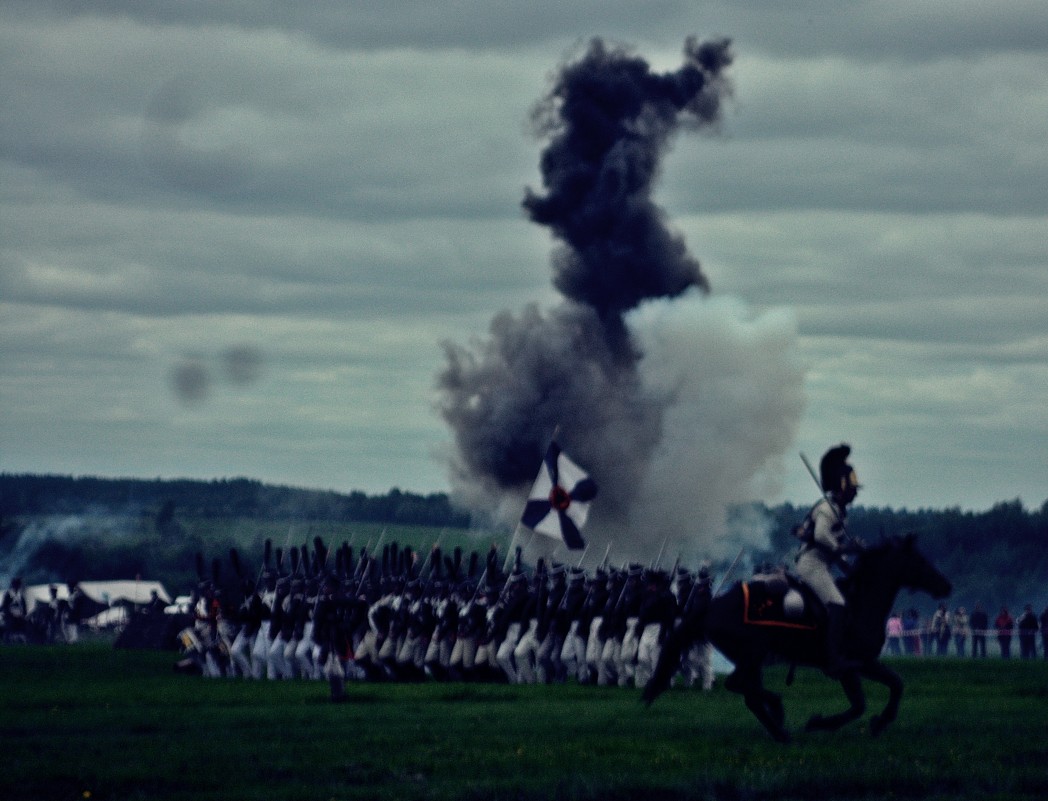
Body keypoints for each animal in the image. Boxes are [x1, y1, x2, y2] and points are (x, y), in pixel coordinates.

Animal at [641, 534, 955, 742]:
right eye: (918, 560)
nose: (946, 586)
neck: (858, 604)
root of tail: (711, 608)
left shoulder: (862, 664)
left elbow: (894, 685)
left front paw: (878, 722)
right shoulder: (849, 666)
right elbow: (862, 703)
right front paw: (821, 723)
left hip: (752, 661)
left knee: (749, 693)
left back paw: (778, 726)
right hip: (753, 656)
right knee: (739, 686)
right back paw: (779, 717)